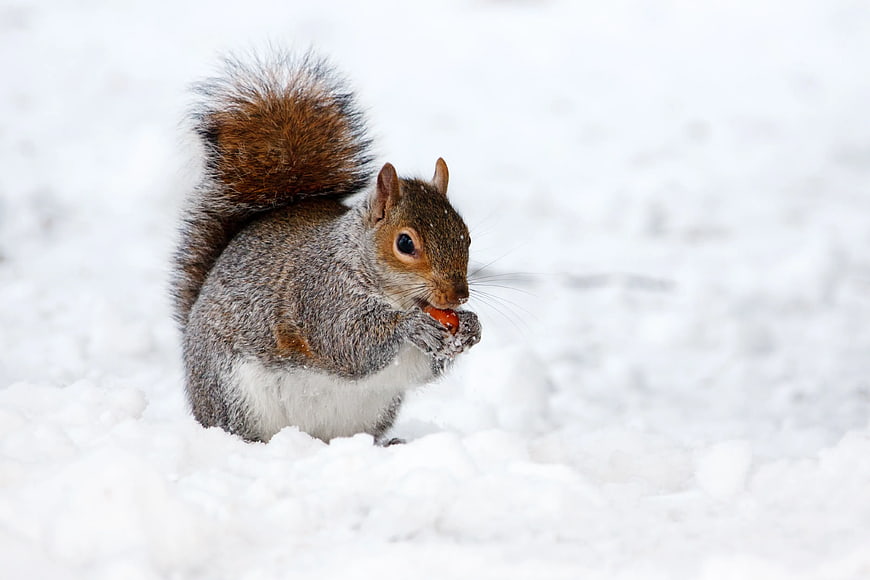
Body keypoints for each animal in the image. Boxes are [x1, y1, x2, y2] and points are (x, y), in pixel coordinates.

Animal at [171, 52, 481, 444]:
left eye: (466, 236)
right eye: (405, 243)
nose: (458, 296)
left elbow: (424, 366)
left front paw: (471, 327)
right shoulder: (320, 294)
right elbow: (348, 342)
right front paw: (412, 326)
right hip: (233, 395)